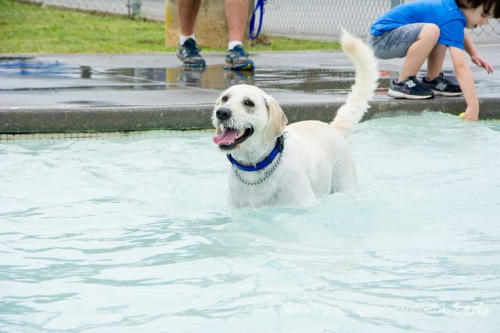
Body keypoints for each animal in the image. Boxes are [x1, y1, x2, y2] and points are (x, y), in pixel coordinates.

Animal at [209, 31, 376, 208]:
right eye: (225, 99)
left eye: (249, 102)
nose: (222, 112)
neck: (254, 169)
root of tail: (332, 127)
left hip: (345, 180)